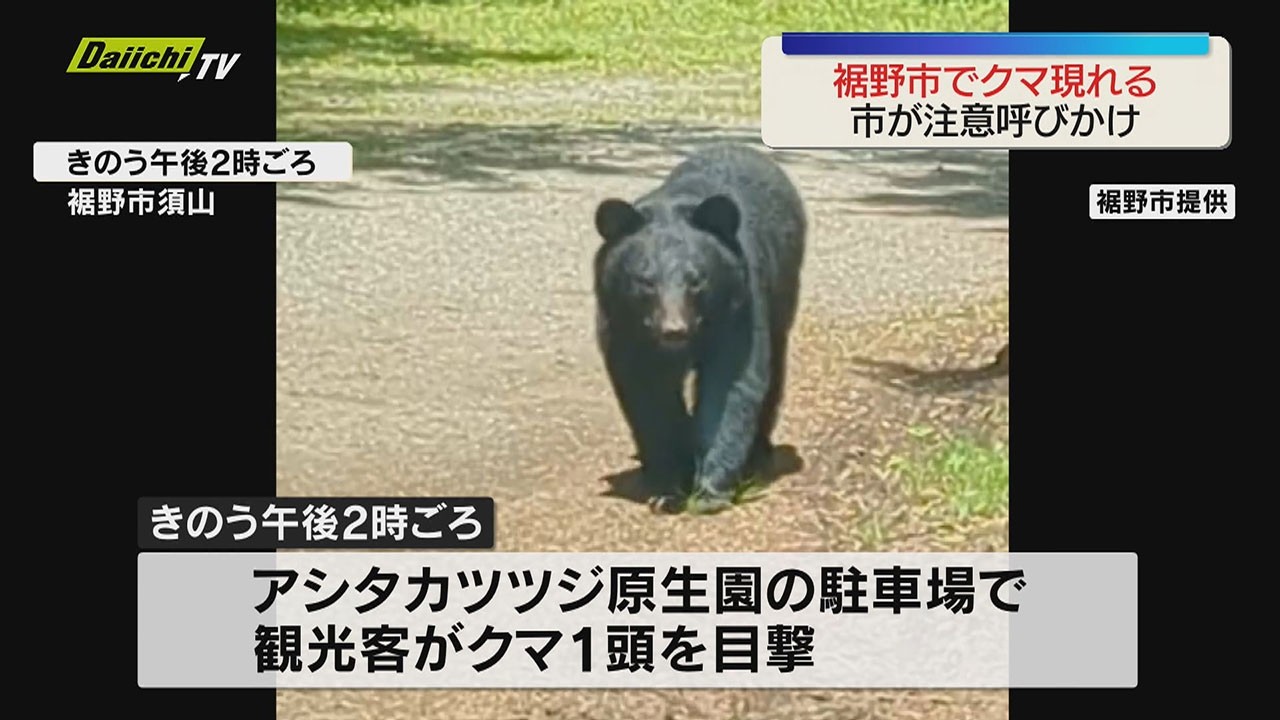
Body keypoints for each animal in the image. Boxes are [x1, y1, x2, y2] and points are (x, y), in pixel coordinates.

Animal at [592, 144, 807, 513]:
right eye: (645, 281)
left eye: (697, 280)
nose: (673, 330)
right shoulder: (622, 321)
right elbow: (646, 391)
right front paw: (667, 486)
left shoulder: (738, 305)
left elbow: (731, 384)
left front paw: (710, 489)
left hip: (783, 288)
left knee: (774, 366)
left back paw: (759, 451)